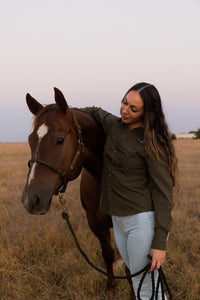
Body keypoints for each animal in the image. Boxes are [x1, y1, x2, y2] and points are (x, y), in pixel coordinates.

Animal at [21, 88, 135, 298]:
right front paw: (111, 289)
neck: (105, 180)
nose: (30, 200)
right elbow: (107, 254)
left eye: (59, 140)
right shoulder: (94, 221)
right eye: (31, 140)